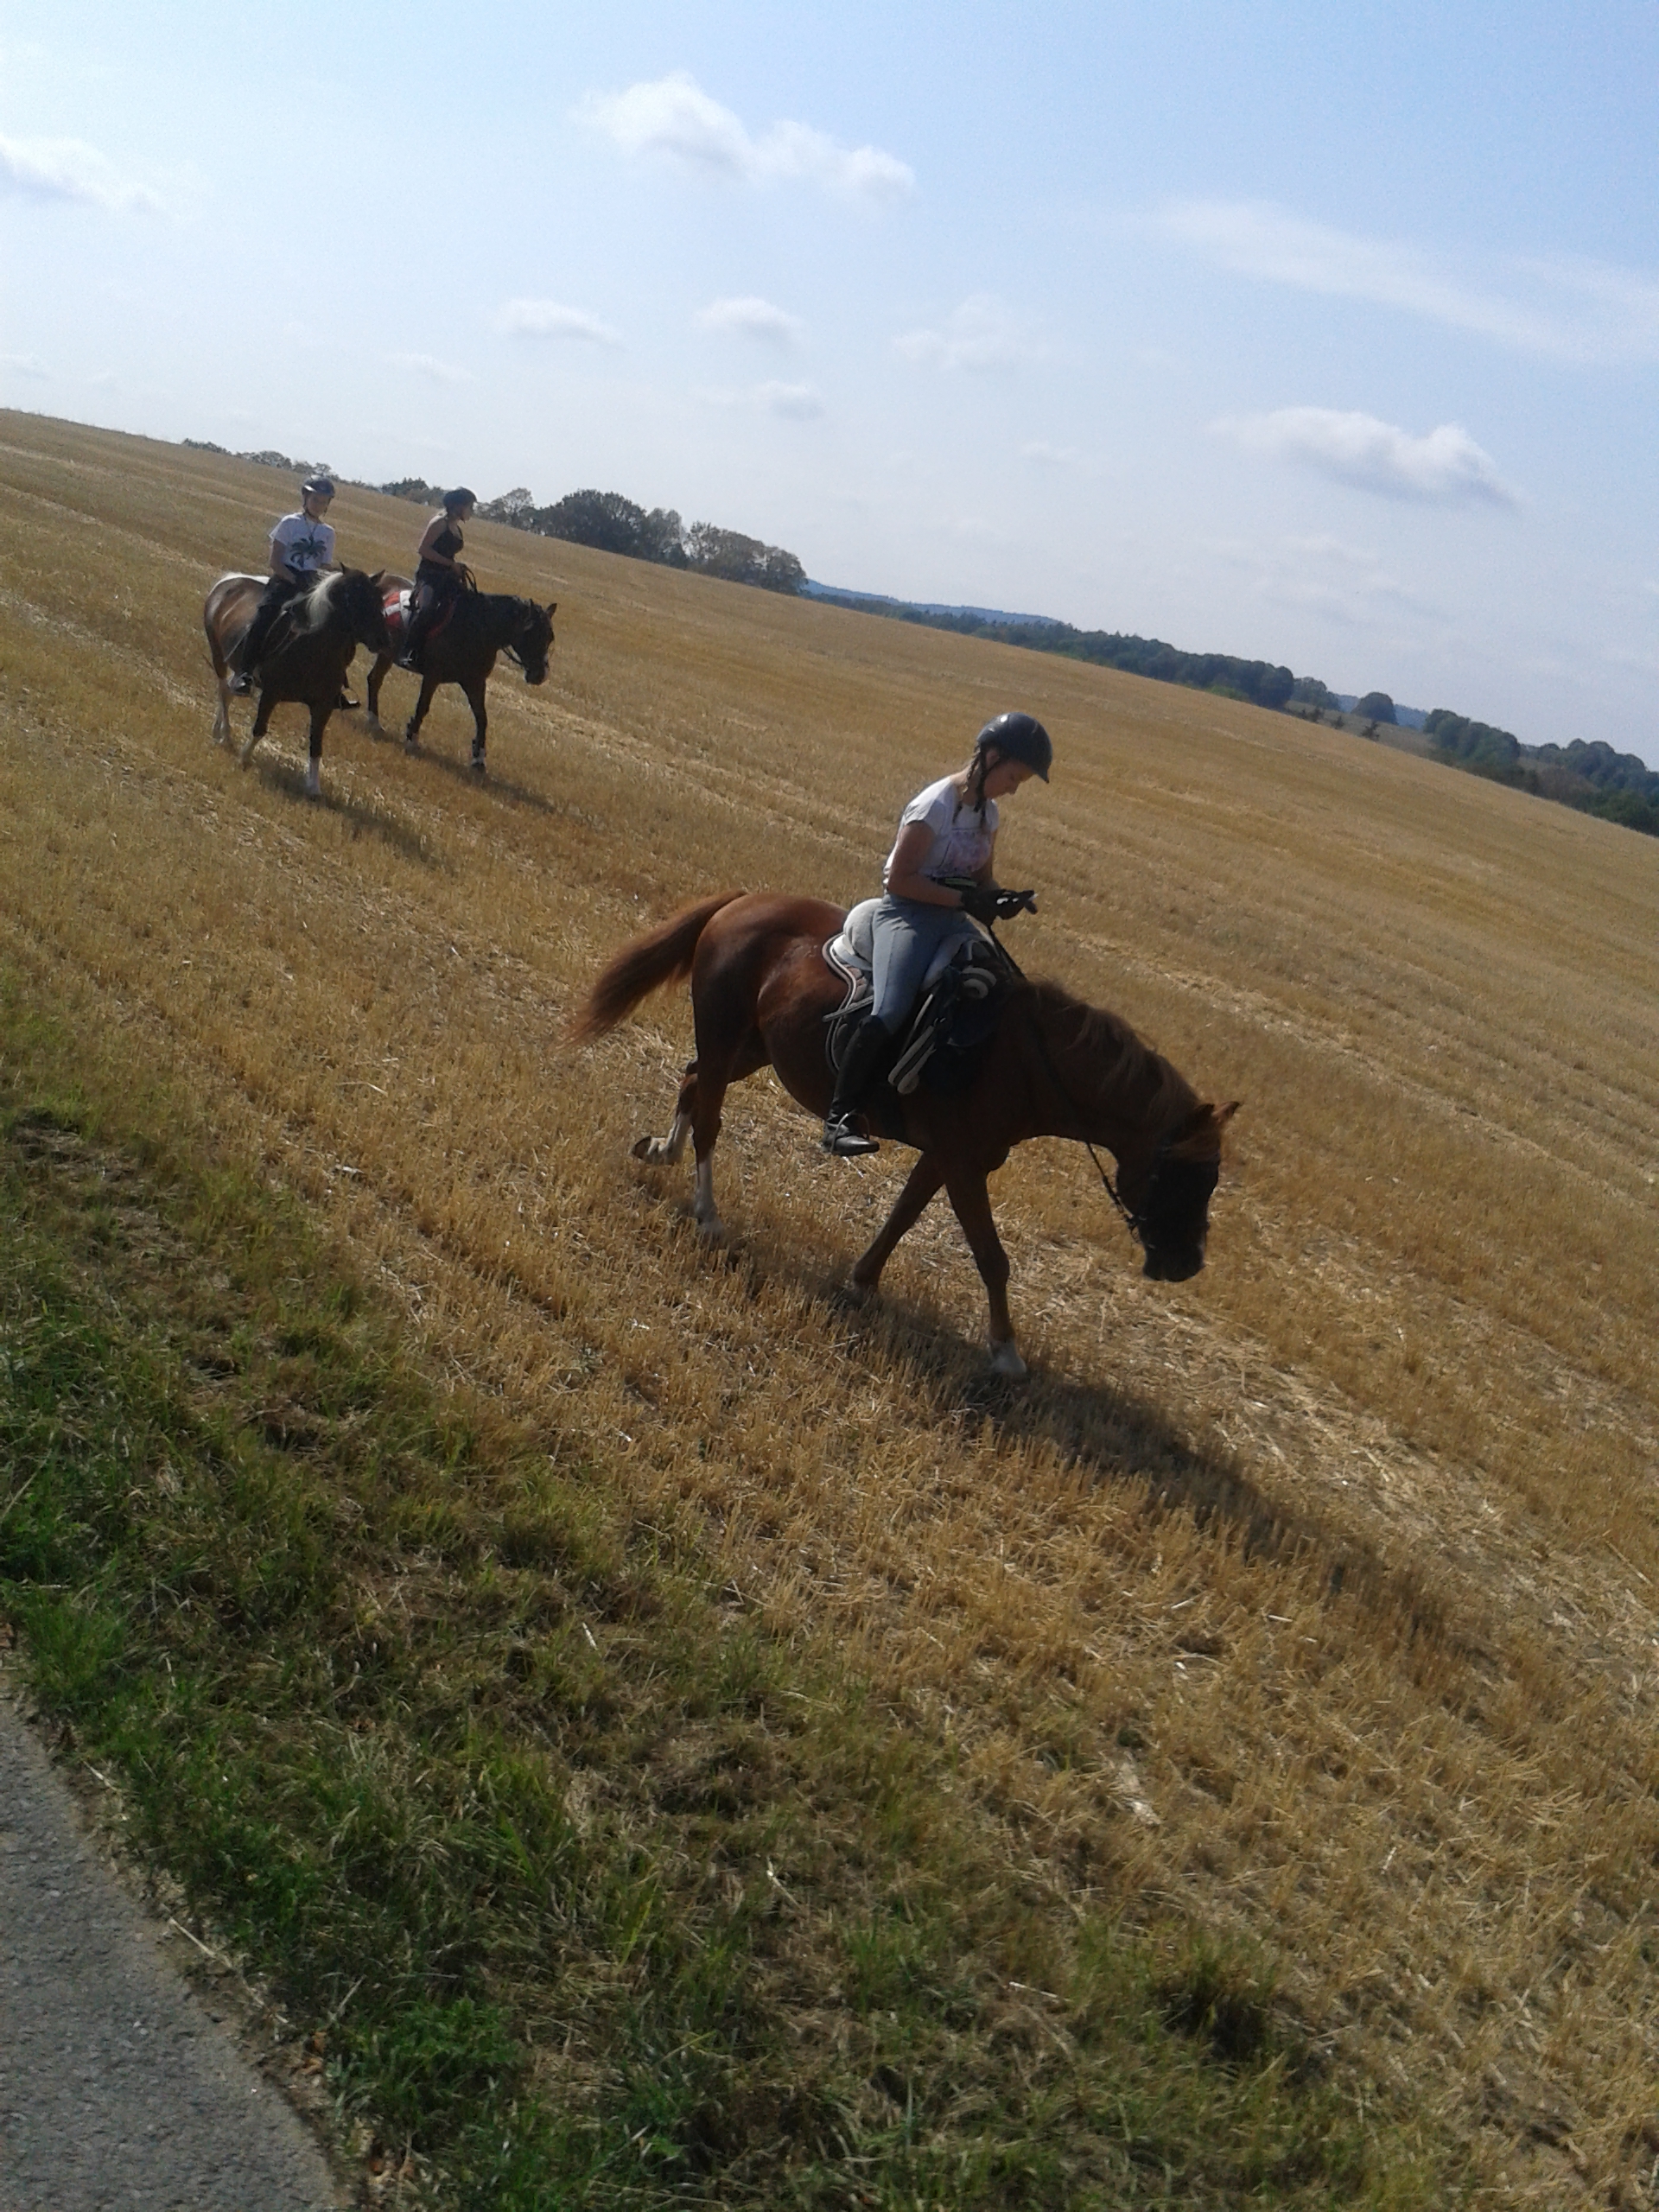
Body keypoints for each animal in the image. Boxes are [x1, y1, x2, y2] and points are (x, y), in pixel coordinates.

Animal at [204, 569, 392, 798]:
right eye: (353, 599)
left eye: (378, 599)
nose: (383, 640)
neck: (314, 647)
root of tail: (230, 579)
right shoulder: (271, 694)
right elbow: (259, 729)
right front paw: (244, 758)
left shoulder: (322, 707)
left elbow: (316, 745)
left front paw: (314, 787)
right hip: (218, 656)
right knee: (223, 691)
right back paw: (224, 734)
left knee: (229, 691)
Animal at [362, 573, 556, 774]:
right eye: (530, 632)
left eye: (550, 636)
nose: (539, 675)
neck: (476, 628)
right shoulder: (433, 676)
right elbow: (423, 707)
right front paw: (412, 738)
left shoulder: (475, 683)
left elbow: (482, 718)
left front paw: (478, 759)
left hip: (387, 654)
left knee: (375, 680)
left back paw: (374, 721)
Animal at [571, 891, 1238, 1377]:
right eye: (1180, 1177)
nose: (1186, 1264)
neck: (1023, 1057)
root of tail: (739, 901)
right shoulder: (964, 1166)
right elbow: (992, 1258)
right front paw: (1006, 1353)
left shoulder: (949, 1159)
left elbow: (901, 1220)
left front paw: (862, 1282)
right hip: (723, 1032)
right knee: (709, 1113)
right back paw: (707, 1213)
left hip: (753, 1047)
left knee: (692, 1084)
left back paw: (662, 1151)